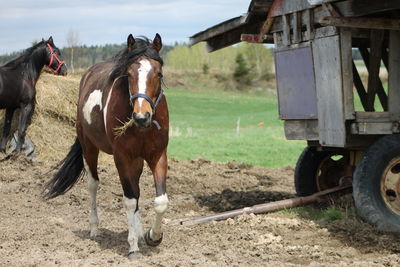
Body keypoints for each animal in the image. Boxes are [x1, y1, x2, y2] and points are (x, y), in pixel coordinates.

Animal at [44, 34, 169, 260]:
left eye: (158, 73)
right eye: (129, 74)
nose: (141, 117)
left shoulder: (157, 155)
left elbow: (160, 201)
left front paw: (153, 236)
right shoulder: (122, 157)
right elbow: (129, 200)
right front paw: (133, 247)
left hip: (136, 160)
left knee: (136, 190)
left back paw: (139, 231)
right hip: (89, 148)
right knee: (94, 185)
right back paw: (95, 229)